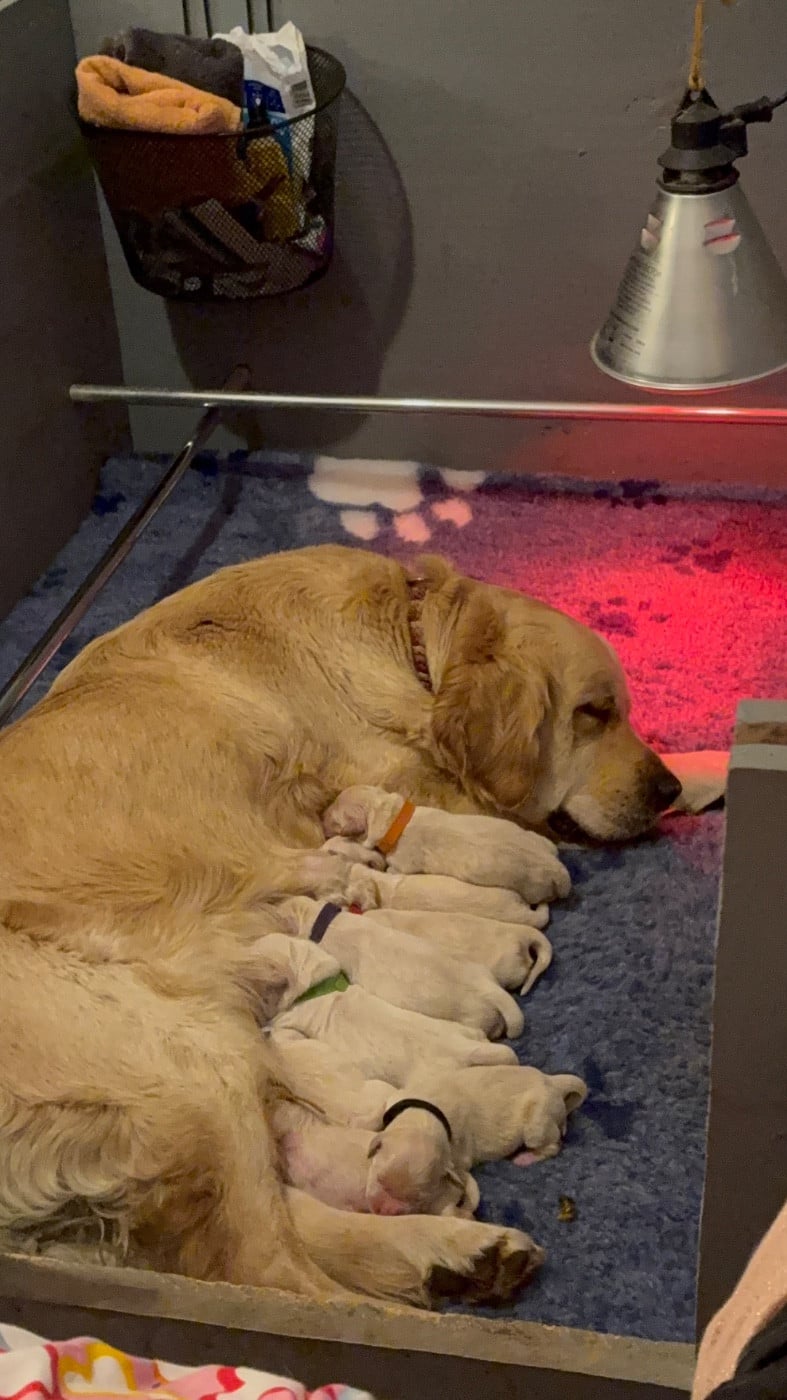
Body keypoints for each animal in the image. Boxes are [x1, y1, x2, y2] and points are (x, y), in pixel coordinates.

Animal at [322, 785, 571, 905]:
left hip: (534, 886)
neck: (393, 818)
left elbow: (394, 869)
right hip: (538, 840)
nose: (320, 816)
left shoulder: (403, 864)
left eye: (332, 819)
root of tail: (559, 871)